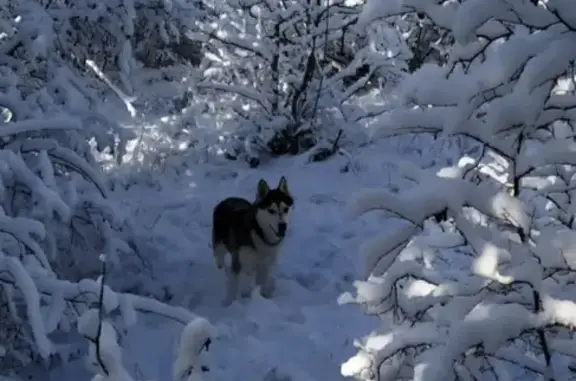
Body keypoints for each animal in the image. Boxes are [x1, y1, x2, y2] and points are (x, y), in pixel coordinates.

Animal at [210, 176, 292, 306]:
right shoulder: (238, 262)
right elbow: (236, 287)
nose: (283, 226)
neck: (260, 235)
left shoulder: (267, 263)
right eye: (271, 211)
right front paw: (232, 304)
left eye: (286, 209)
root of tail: (228, 199)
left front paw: (261, 299)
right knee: (219, 260)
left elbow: (262, 283)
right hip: (219, 246)